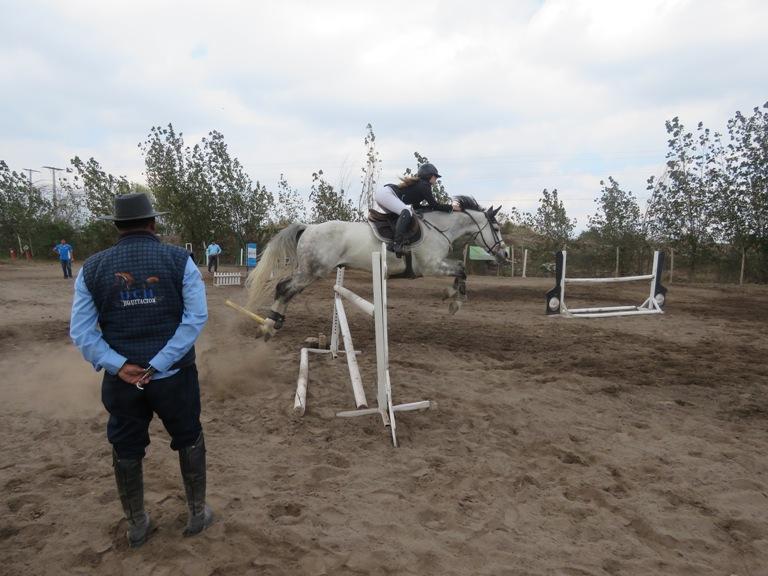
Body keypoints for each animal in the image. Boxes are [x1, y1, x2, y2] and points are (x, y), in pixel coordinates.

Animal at [248, 196, 510, 338]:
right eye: (496, 229)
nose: (505, 254)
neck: (439, 227)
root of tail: (308, 227)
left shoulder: (436, 265)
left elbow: (459, 268)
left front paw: (452, 295)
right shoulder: (431, 266)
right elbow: (460, 269)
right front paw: (455, 301)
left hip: (310, 271)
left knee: (286, 290)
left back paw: (275, 323)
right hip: (312, 271)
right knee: (284, 288)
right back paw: (268, 327)